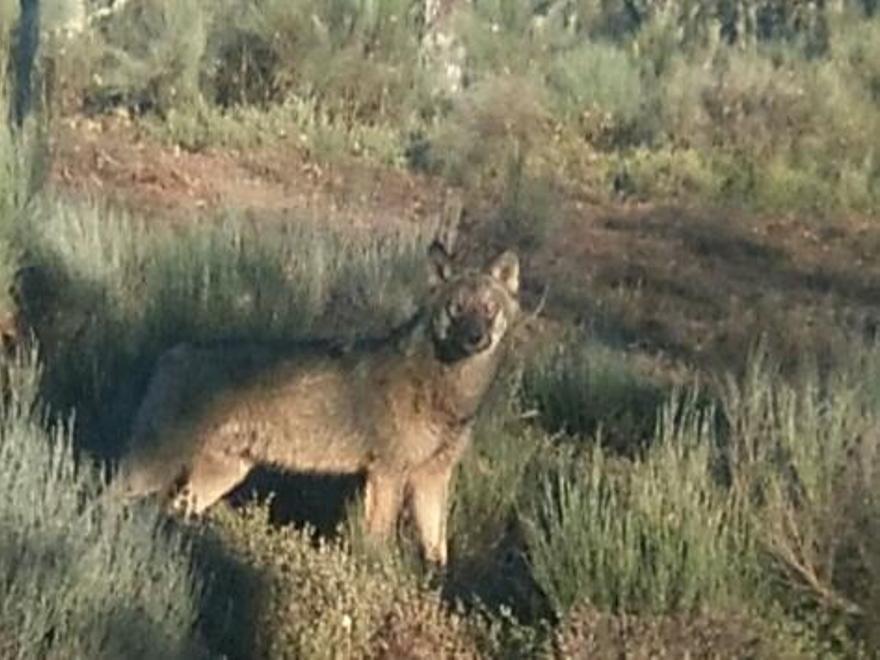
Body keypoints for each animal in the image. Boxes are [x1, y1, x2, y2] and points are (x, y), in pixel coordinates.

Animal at [113, 240, 520, 564]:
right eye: (456, 308)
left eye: (488, 308)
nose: (475, 337)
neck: (448, 388)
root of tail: (171, 353)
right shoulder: (387, 474)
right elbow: (377, 544)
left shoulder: (433, 478)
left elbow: (439, 553)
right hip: (151, 471)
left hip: (220, 476)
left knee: (175, 509)